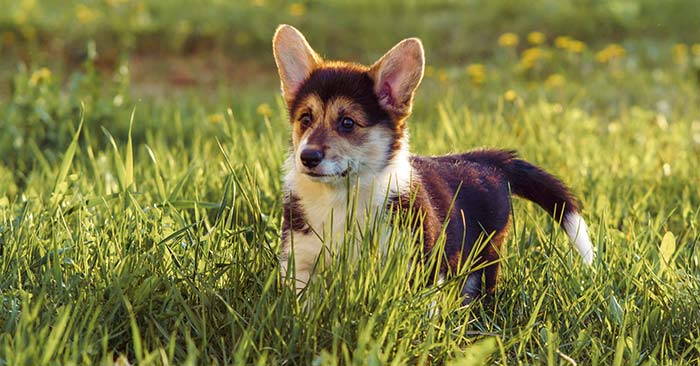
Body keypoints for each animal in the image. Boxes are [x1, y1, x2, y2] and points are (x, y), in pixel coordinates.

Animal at [274, 24, 596, 302]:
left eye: (347, 123)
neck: (341, 197)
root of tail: (486, 158)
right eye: (305, 119)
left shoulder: (418, 262)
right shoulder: (300, 262)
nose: (308, 157)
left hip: (486, 254)